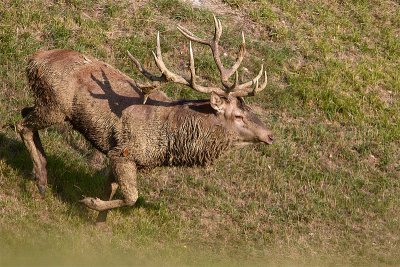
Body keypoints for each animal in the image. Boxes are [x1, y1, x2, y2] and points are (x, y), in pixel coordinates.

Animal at [17, 15, 274, 223]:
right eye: (238, 115)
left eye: (250, 109)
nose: (270, 135)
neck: (170, 138)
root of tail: (34, 59)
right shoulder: (125, 152)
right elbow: (132, 197)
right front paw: (89, 202)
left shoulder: (116, 152)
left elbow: (111, 189)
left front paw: (99, 223)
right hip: (55, 106)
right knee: (21, 125)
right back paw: (41, 179)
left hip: (46, 102)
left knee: (23, 111)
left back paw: (41, 170)